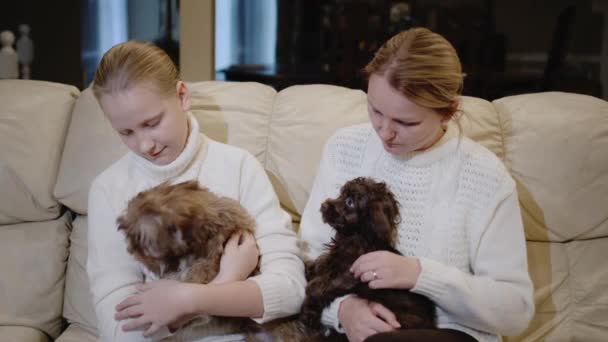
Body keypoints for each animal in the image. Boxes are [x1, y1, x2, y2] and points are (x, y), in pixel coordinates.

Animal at [300, 176, 434, 340]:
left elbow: (317, 287)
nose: (323, 205)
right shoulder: (331, 261)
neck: (356, 236)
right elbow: (318, 267)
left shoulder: (349, 274)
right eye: (341, 195)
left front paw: (308, 314)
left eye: (350, 202)